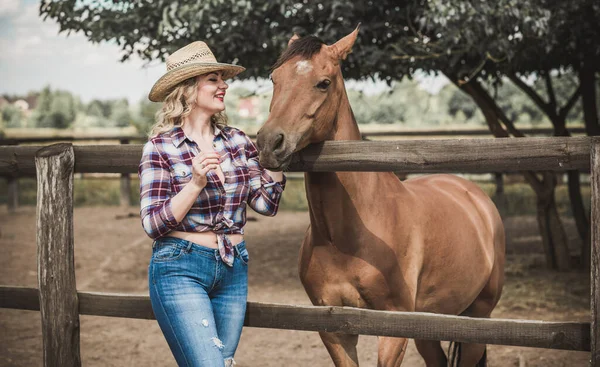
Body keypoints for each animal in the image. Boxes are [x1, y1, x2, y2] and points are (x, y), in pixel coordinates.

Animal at [255, 26, 504, 367]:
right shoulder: (334, 328)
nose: (269, 143)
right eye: (274, 78)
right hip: (430, 325)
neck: (349, 237)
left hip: (478, 320)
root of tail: (476, 198)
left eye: (323, 83)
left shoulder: (393, 328)